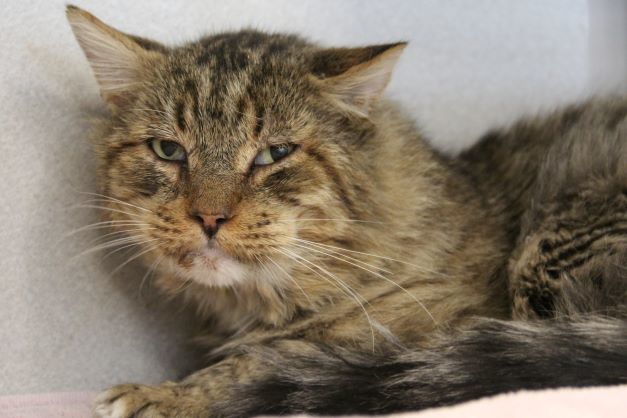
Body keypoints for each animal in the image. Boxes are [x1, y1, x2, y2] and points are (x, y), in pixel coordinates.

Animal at [66, 4, 624, 416]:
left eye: (274, 154)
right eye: (168, 151)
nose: (208, 218)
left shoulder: (441, 332)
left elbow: (268, 361)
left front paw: (163, 394)